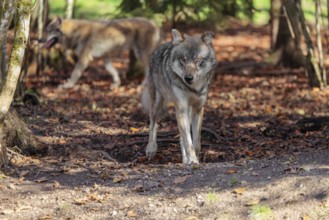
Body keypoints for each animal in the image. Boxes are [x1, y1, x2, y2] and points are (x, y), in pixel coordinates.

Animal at [142, 28, 217, 163]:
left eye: (198, 60)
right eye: (183, 59)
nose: (188, 78)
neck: (193, 89)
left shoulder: (198, 109)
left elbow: (195, 141)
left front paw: (193, 159)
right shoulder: (181, 108)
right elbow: (188, 140)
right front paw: (192, 160)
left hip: (187, 111)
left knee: (182, 136)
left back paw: (184, 160)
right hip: (157, 105)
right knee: (153, 125)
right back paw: (151, 149)